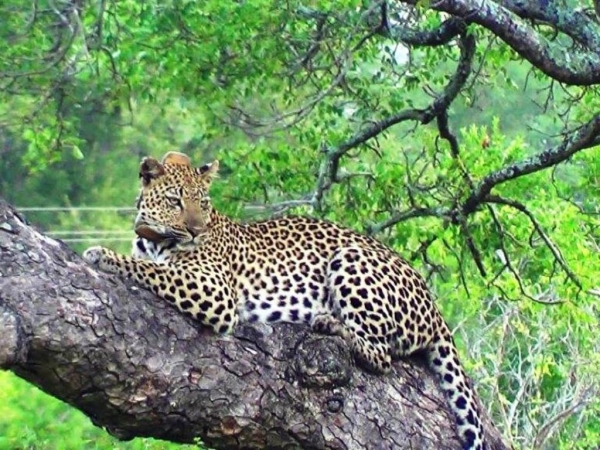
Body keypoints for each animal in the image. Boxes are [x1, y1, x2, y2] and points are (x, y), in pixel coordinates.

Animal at [83, 152, 488, 450]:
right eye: (175, 200)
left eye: (204, 202)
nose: (196, 230)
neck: (155, 240)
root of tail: (434, 307)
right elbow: (150, 265)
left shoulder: (215, 291)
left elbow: (151, 270)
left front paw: (102, 255)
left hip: (351, 258)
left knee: (381, 355)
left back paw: (329, 322)